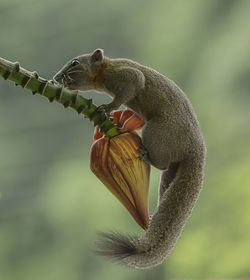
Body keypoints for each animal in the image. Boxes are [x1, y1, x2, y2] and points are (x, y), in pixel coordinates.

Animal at [53, 48, 206, 270]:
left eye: (75, 63)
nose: (56, 77)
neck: (104, 71)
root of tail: (195, 150)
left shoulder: (126, 76)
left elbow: (131, 85)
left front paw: (107, 108)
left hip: (156, 132)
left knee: (161, 163)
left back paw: (146, 156)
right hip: (170, 174)